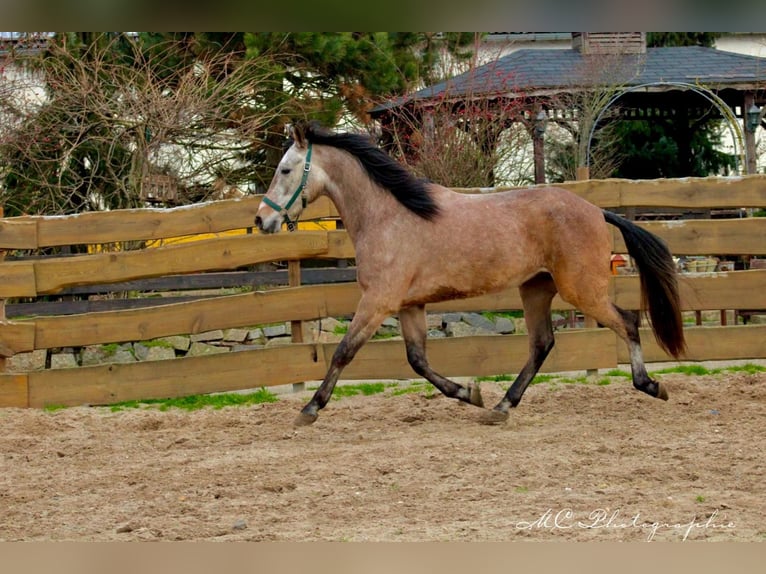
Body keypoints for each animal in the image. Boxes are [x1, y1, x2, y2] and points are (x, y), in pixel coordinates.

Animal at [255, 122, 688, 428]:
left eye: (286, 169)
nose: (262, 220)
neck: (389, 216)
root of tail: (597, 211)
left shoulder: (378, 302)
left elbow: (344, 351)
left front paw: (310, 409)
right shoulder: (409, 305)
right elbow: (417, 361)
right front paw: (470, 392)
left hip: (582, 291)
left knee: (627, 321)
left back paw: (651, 385)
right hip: (536, 289)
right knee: (541, 344)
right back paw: (500, 406)